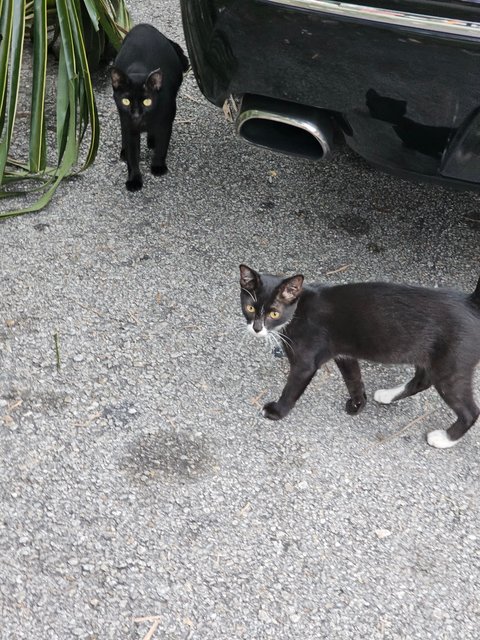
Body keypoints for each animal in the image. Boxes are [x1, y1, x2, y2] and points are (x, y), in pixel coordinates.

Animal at [111, 25, 188, 190]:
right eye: (126, 101)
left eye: (147, 102)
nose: (136, 113)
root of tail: (143, 26)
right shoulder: (130, 128)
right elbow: (133, 157)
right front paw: (134, 180)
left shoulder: (165, 123)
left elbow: (162, 146)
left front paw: (158, 167)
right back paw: (124, 151)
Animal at [239, 262, 480, 448]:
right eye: (250, 308)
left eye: (274, 313)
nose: (257, 328)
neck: (298, 311)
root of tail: (470, 304)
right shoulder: (343, 353)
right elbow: (353, 378)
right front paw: (358, 404)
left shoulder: (305, 363)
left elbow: (291, 389)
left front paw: (277, 411)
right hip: (428, 355)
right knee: (422, 380)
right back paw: (387, 395)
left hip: (451, 366)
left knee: (470, 411)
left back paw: (444, 439)